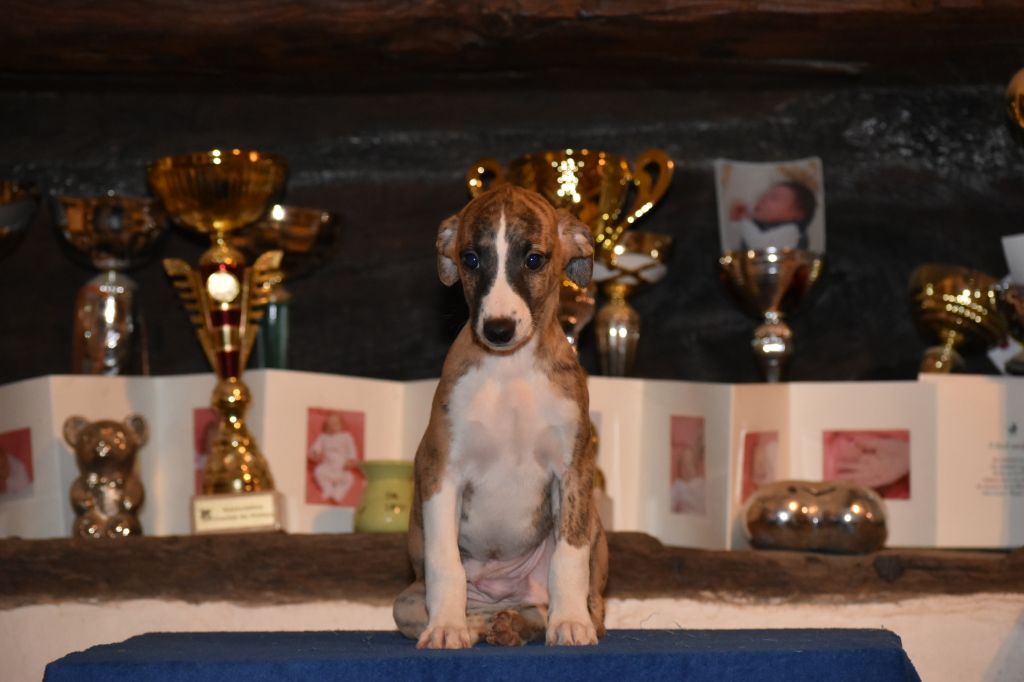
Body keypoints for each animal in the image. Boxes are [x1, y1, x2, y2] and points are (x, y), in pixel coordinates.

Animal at [393, 184, 608, 649]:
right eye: (471, 258)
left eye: (535, 259)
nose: (498, 329)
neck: (510, 370)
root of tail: (502, 596)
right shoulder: (441, 471)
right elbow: (445, 562)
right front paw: (446, 627)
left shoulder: (574, 470)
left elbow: (569, 557)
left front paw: (569, 622)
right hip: (407, 598)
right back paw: (481, 624)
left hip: (596, 533)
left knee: (575, 604)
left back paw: (529, 622)